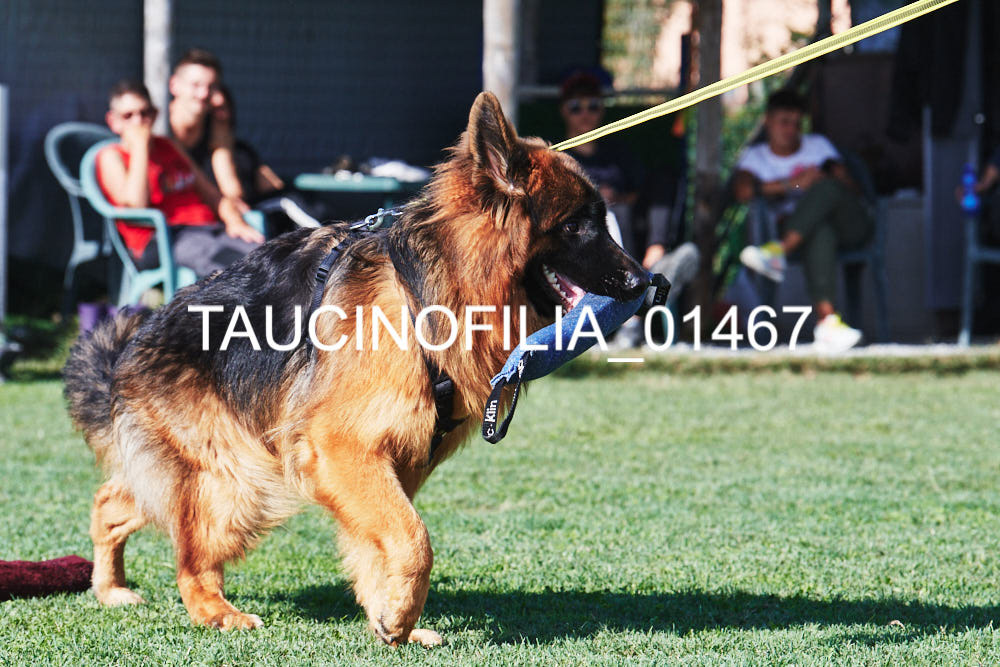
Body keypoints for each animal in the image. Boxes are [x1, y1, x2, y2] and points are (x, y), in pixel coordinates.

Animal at [64, 92, 648, 646]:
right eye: (576, 225)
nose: (646, 282)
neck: (427, 294)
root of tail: (126, 351)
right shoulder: (340, 447)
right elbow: (413, 539)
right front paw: (400, 613)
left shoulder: (390, 458)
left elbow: (383, 544)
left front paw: (393, 621)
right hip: (242, 481)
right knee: (190, 558)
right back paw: (213, 611)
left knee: (114, 499)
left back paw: (110, 588)